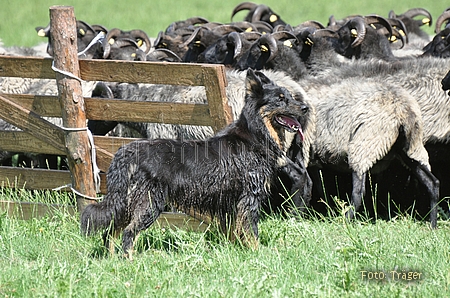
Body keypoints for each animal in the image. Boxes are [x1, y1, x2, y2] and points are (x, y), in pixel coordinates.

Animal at [80, 69, 310, 256]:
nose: (306, 107)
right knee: (128, 234)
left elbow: (238, 231)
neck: (255, 134)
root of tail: (128, 150)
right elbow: (251, 231)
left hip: (127, 202)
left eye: (290, 96)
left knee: (111, 232)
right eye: (280, 99)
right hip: (149, 203)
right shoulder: (249, 198)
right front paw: (257, 253)